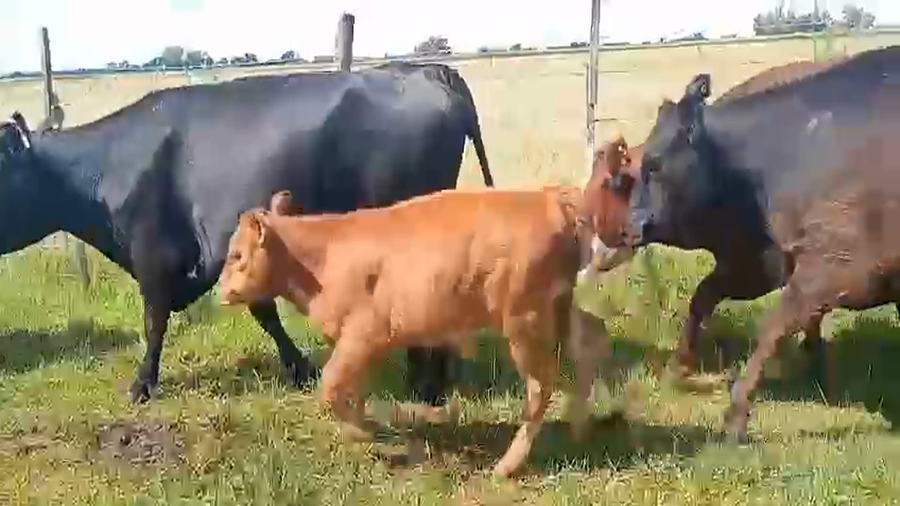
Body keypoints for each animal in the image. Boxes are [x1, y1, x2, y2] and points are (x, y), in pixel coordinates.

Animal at [0, 61, 494, 406]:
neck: (106, 165)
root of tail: (421, 69)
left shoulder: (155, 254)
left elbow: (154, 320)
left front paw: (141, 385)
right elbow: (263, 312)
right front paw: (301, 369)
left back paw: (427, 389)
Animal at [217, 187, 616, 477]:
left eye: (236, 255)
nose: (221, 291)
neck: (325, 254)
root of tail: (549, 198)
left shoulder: (364, 334)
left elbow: (329, 387)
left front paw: (362, 435)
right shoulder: (360, 346)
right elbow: (352, 390)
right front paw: (365, 427)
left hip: (524, 322)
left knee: (540, 387)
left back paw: (506, 465)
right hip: (558, 306)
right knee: (592, 338)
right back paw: (582, 428)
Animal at [624, 45, 900, 442]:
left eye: (654, 164)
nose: (627, 226)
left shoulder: (836, 266)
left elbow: (773, 327)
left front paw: (737, 412)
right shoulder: (763, 264)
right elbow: (704, 297)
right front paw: (681, 367)